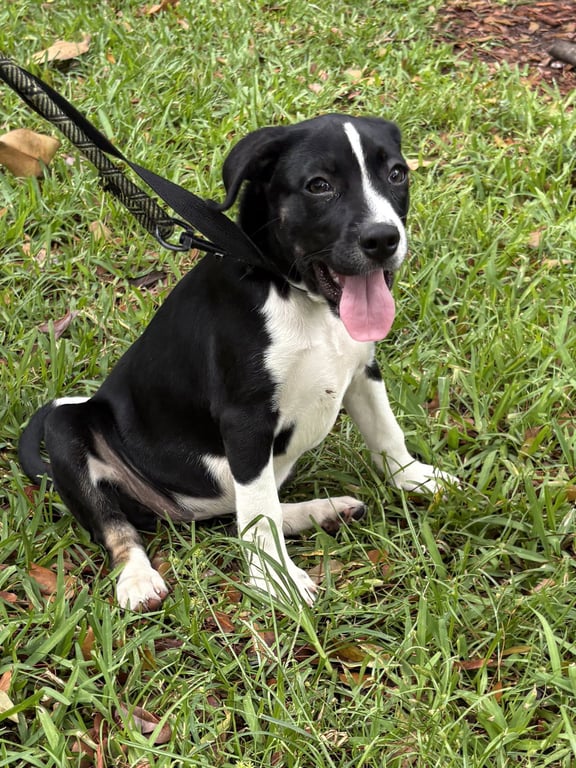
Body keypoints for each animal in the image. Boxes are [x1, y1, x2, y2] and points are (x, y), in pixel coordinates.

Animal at [19, 113, 457, 610]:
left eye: (397, 174)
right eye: (319, 185)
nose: (383, 239)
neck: (297, 296)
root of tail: (180, 510)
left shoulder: (363, 370)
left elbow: (386, 433)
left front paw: (416, 478)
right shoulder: (245, 419)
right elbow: (260, 514)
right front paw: (276, 581)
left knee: (240, 514)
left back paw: (323, 511)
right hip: (66, 429)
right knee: (122, 524)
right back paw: (138, 577)